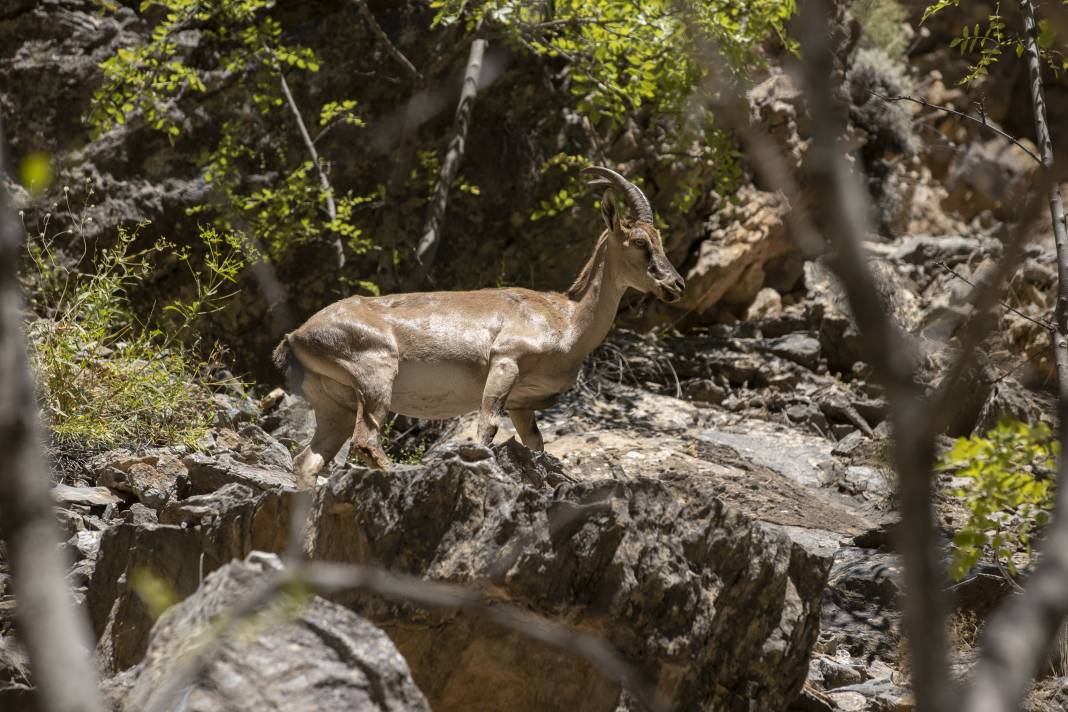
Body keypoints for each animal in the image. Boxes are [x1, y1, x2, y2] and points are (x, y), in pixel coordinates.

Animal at [275, 167, 683, 491]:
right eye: (640, 242)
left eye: (661, 240)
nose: (675, 284)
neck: (565, 318)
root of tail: (296, 336)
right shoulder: (505, 363)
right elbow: (486, 429)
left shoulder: (522, 403)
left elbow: (536, 445)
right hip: (376, 375)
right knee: (365, 441)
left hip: (335, 404)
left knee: (308, 461)